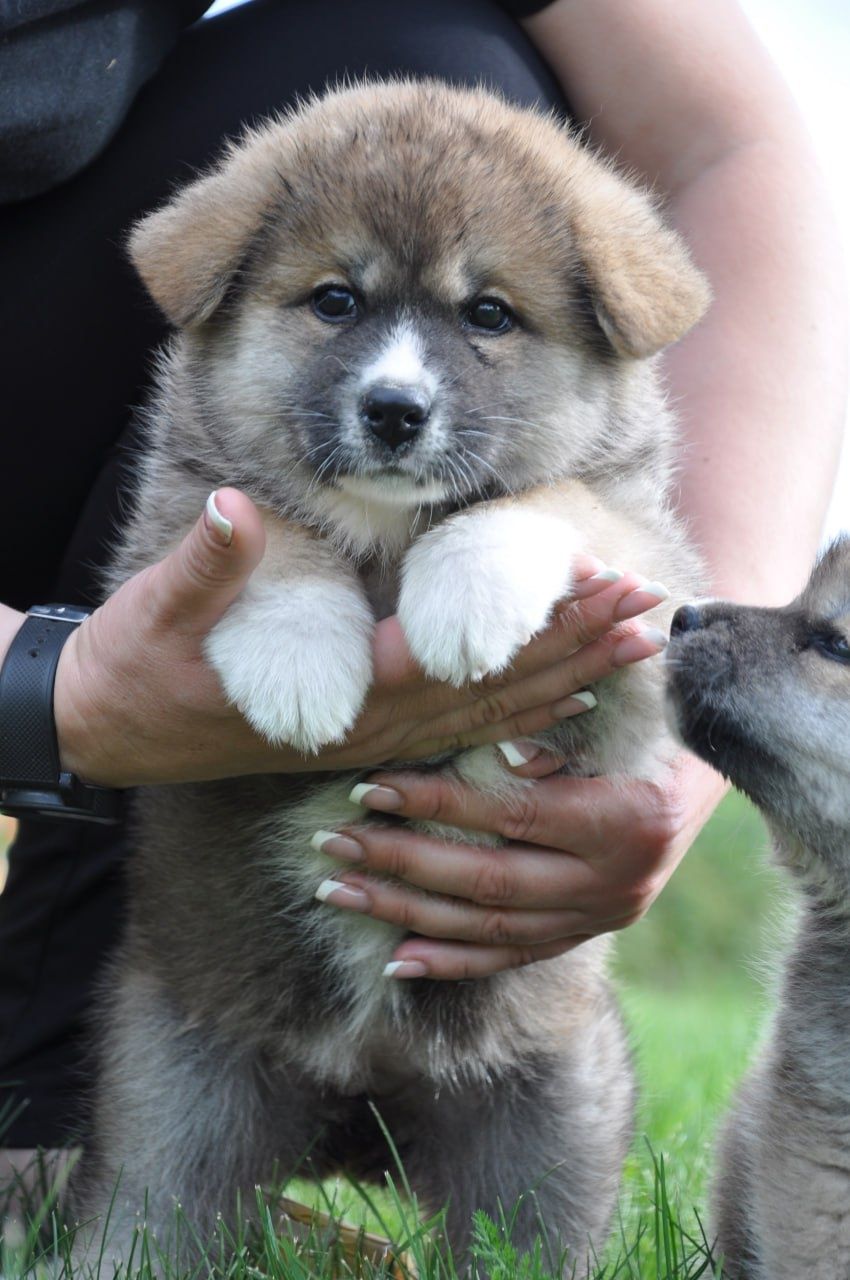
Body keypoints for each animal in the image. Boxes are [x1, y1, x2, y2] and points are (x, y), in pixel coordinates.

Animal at [74, 82, 711, 1269]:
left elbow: (554, 496)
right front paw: (297, 662)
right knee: (143, 1217)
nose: (394, 411)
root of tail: (357, 1107)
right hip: (173, 1120)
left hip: (545, 1130)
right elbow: (268, 526)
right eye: (336, 300)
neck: (384, 535)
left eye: (489, 315)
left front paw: (468, 593)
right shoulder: (157, 549)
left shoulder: (638, 652)